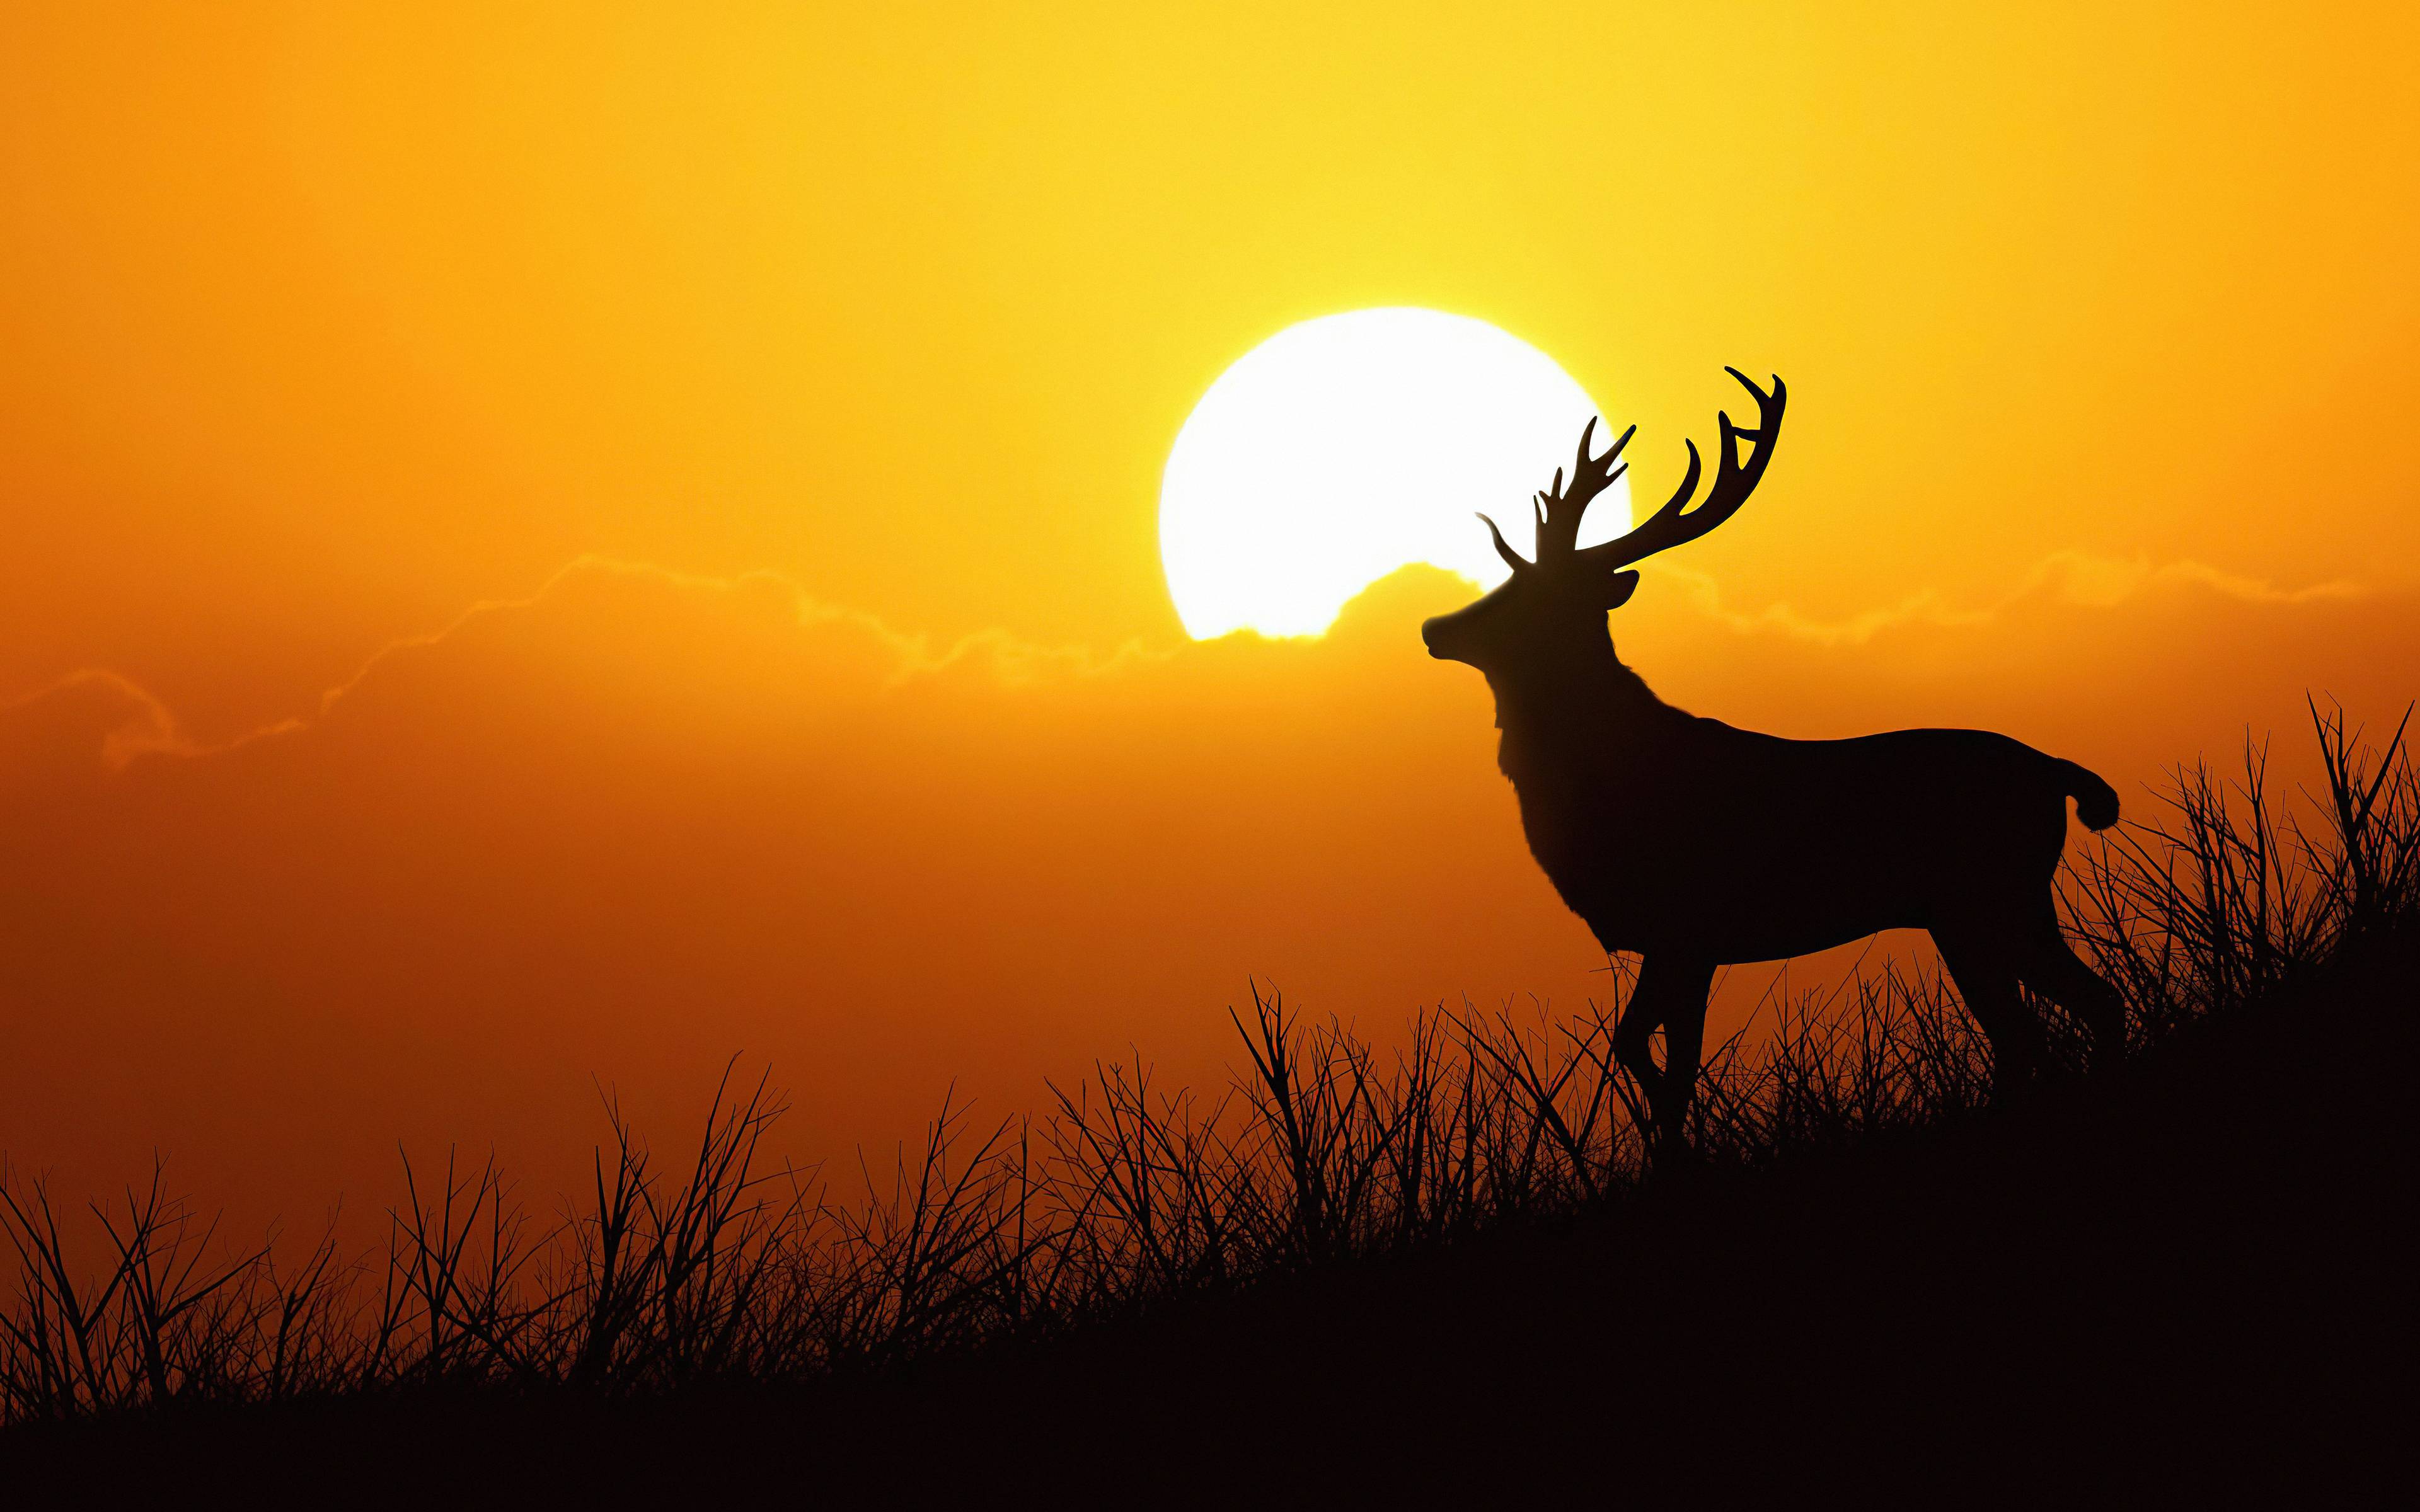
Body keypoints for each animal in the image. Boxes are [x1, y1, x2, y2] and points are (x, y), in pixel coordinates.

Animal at [1421, 368, 2126, 1157]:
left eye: (1525, 595)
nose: (1436, 626)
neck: (1603, 786)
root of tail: (2058, 773)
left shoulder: (1689, 925)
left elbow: (1670, 1061)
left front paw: (1678, 1157)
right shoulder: (1673, 940)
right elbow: (1639, 1048)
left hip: (1987, 898)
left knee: (2049, 1022)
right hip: (1998, 908)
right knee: (2066, 1016)